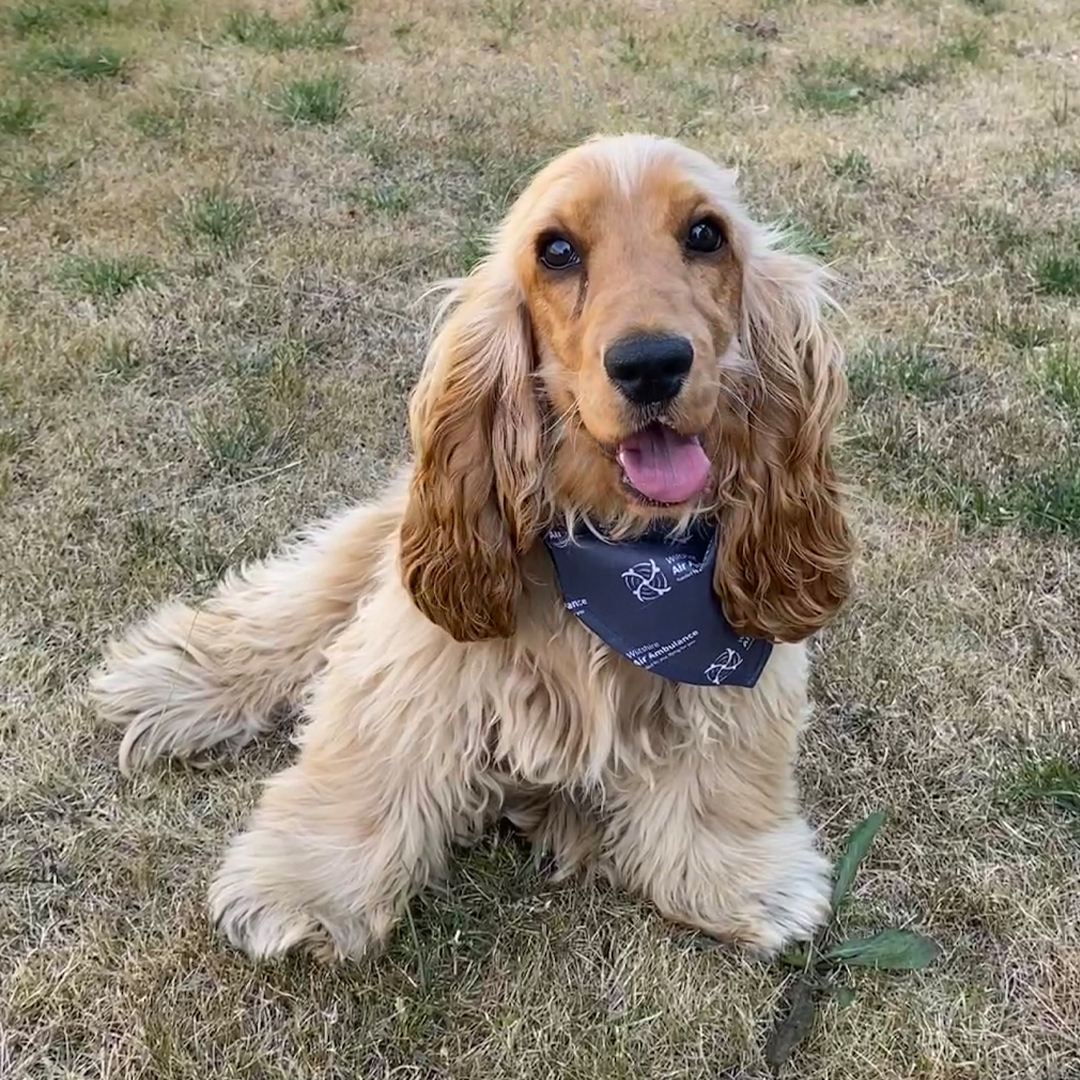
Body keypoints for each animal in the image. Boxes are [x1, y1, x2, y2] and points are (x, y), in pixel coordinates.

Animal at [90, 132, 851, 963]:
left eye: (706, 234)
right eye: (556, 250)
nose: (651, 363)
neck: (621, 563)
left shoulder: (739, 661)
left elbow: (721, 774)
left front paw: (744, 879)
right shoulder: (415, 651)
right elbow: (368, 757)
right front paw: (305, 887)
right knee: (298, 600)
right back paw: (172, 676)